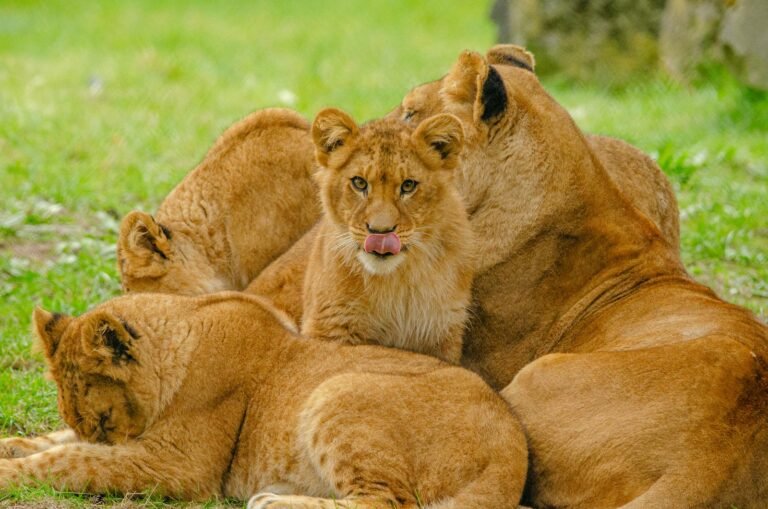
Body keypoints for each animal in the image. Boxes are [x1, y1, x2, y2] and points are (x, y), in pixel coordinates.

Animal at [0, 292, 528, 508]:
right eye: (92, 422)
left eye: (106, 420)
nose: (104, 434)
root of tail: (514, 450)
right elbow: (57, 442)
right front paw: (11, 445)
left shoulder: (178, 466)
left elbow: (72, 459)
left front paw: (8, 472)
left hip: (335, 391)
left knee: (390, 503)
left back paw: (273, 502)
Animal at [300, 109, 474, 363]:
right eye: (359, 183)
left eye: (408, 185)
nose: (380, 232)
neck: (395, 283)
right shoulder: (330, 327)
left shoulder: (443, 331)